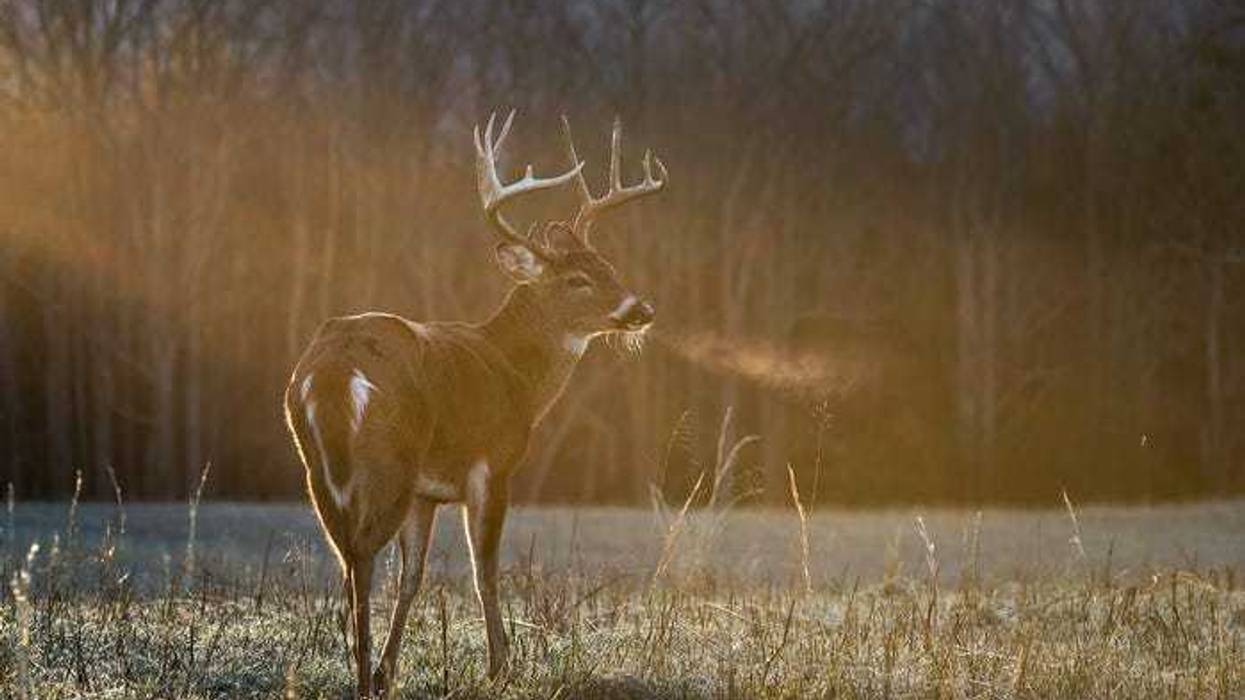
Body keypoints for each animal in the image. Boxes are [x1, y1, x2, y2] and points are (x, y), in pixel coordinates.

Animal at [283, 111, 666, 698]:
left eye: (609, 266)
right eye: (577, 279)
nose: (640, 309)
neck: (516, 375)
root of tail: (330, 372)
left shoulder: (427, 491)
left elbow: (413, 576)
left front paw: (392, 669)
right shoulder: (492, 463)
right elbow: (484, 568)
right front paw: (500, 665)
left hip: (317, 468)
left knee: (347, 558)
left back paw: (365, 669)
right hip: (388, 461)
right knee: (362, 554)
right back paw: (363, 676)